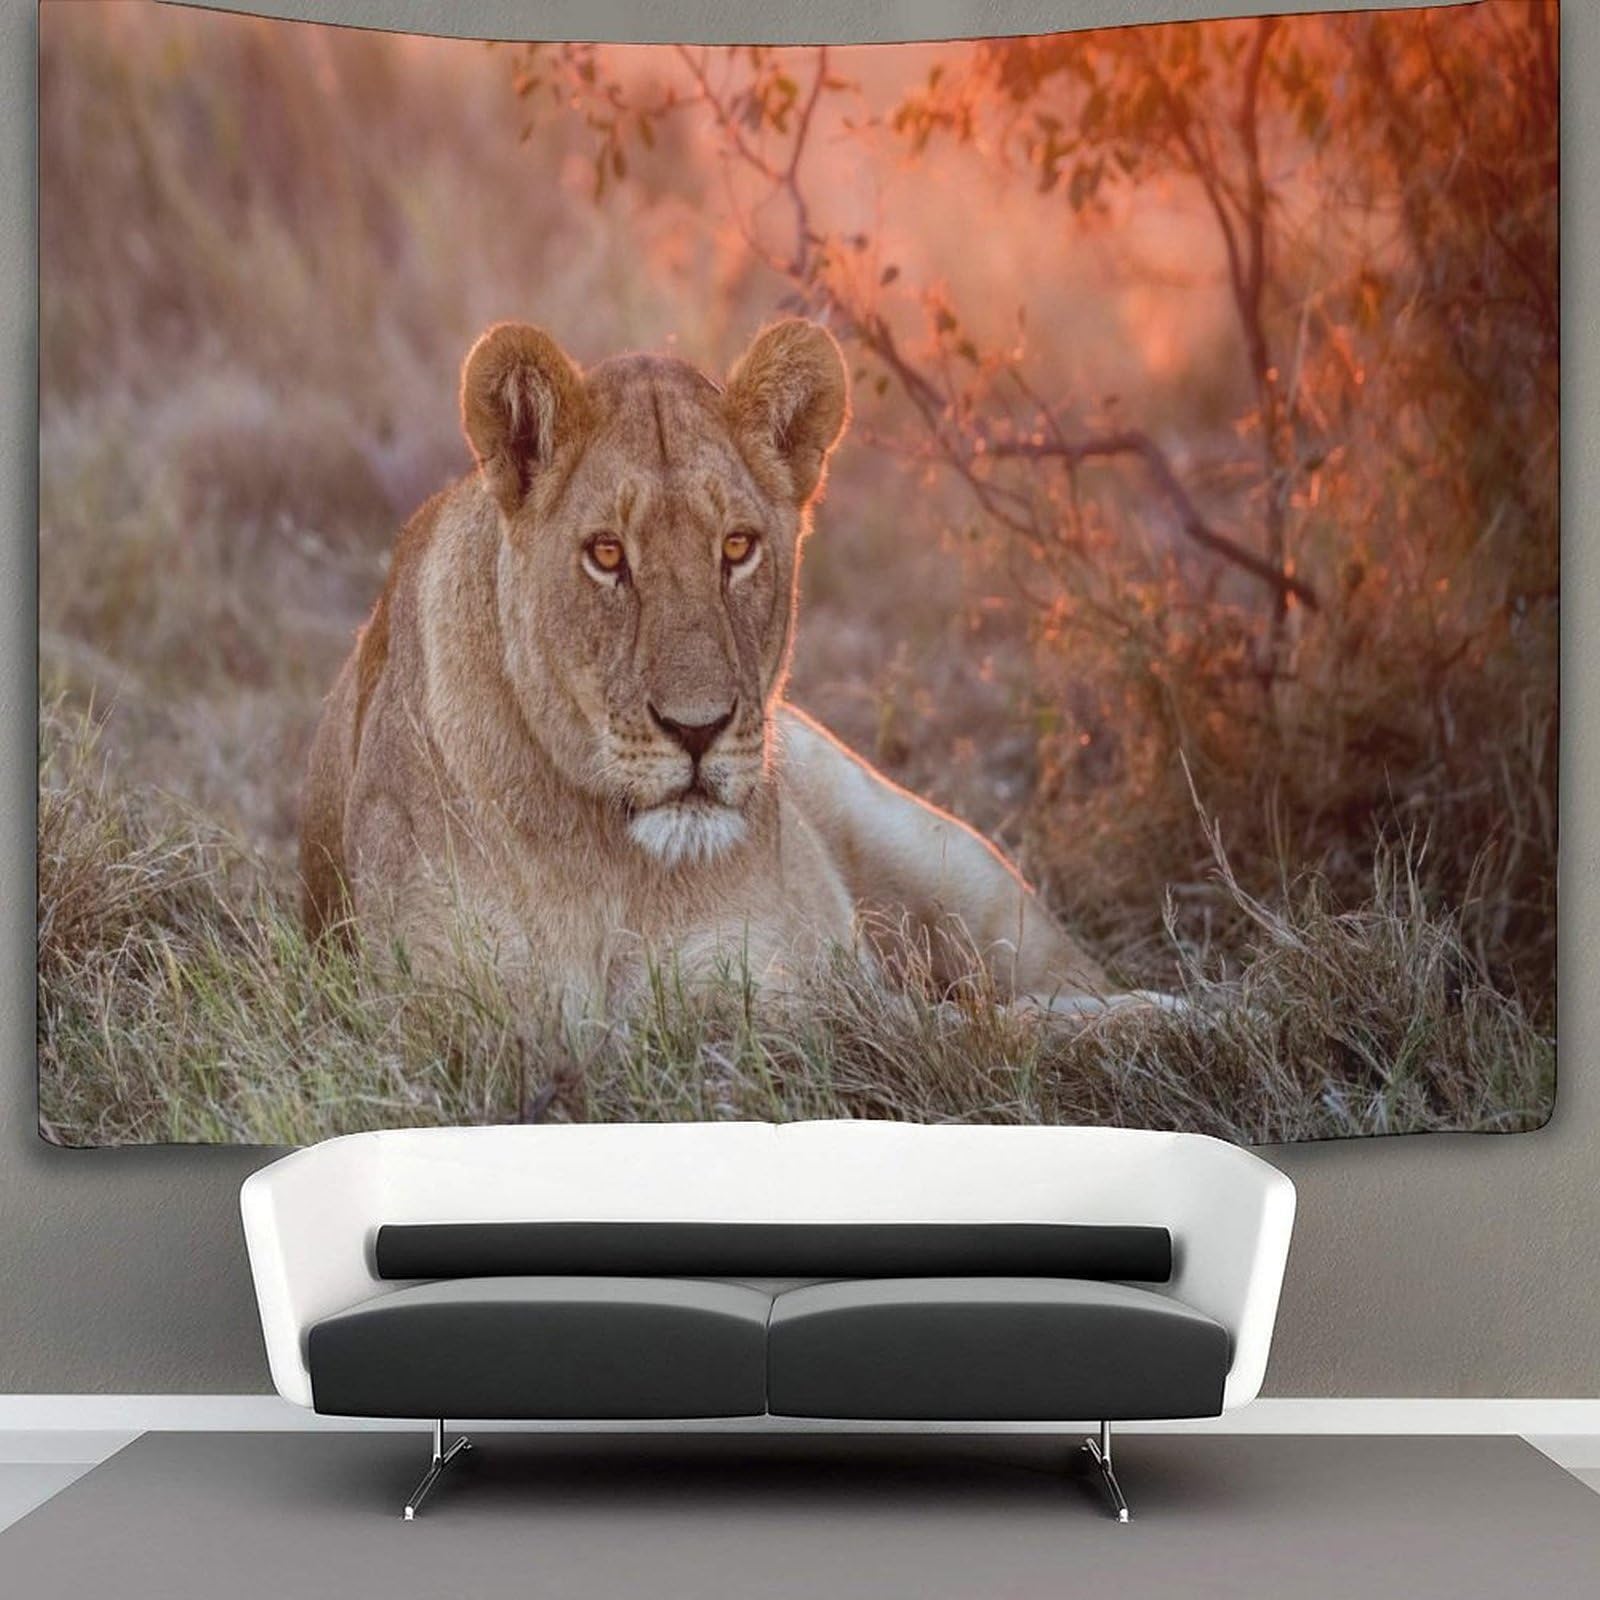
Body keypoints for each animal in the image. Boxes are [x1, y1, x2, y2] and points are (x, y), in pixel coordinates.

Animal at [299, 318, 1114, 1018]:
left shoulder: (789, 993)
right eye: (606, 554)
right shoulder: (443, 1005)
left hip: (951, 868)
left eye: (737, 547)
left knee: (1068, 987)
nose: (698, 731)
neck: (615, 870)